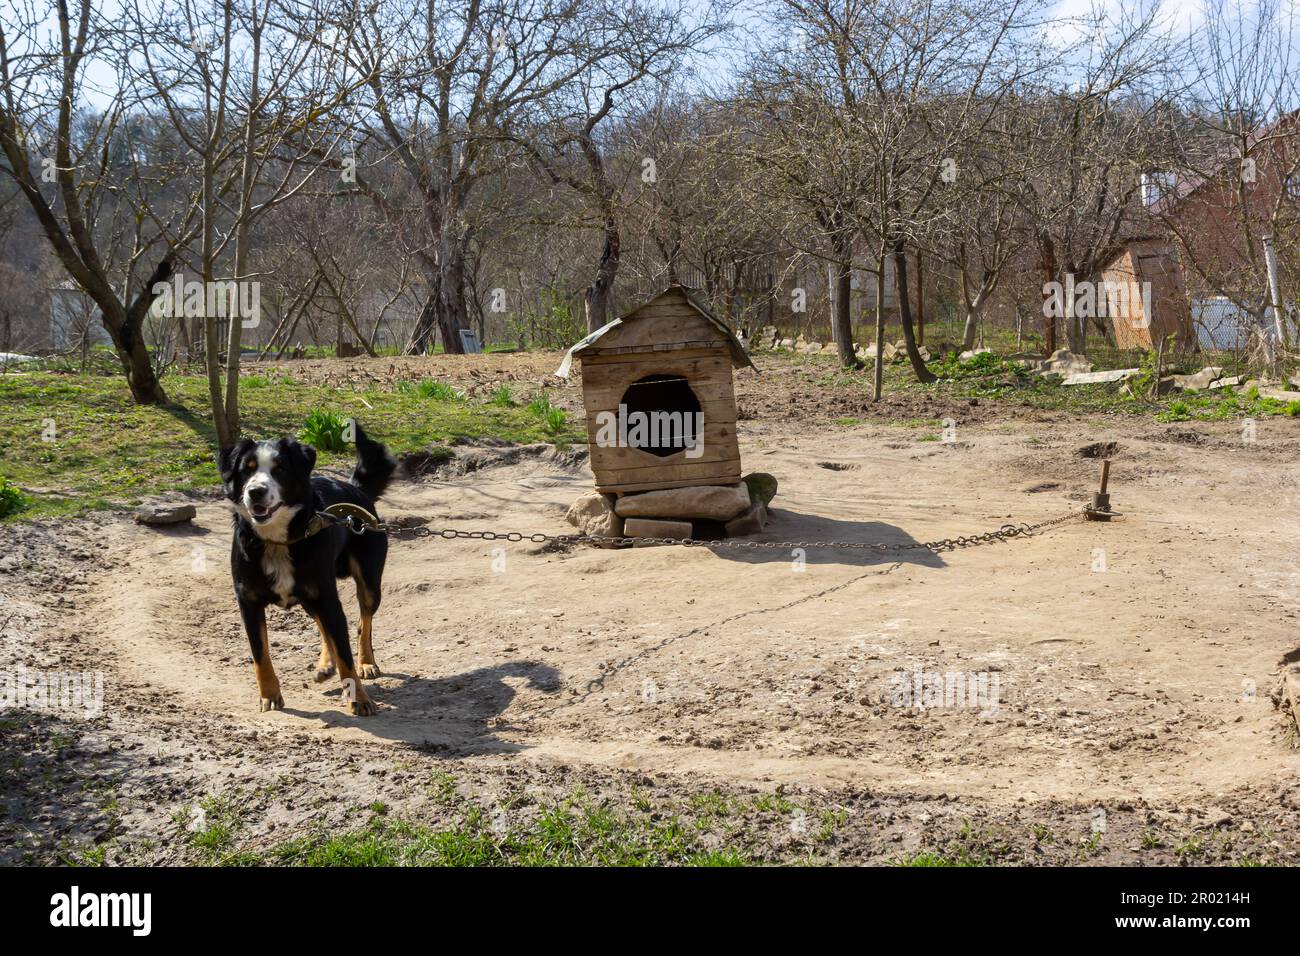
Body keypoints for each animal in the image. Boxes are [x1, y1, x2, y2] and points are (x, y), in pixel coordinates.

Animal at [219, 421, 395, 712]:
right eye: (247, 468)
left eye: (280, 469)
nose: (255, 491)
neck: (277, 540)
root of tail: (356, 490)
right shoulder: (248, 601)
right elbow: (260, 654)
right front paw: (269, 695)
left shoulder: (327, 596)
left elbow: (346, 653)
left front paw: (359, 698)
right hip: (310, 597)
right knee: (324, 627)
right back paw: (325, 665)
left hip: (367, 582)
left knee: (363, 623)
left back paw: (366, 662)